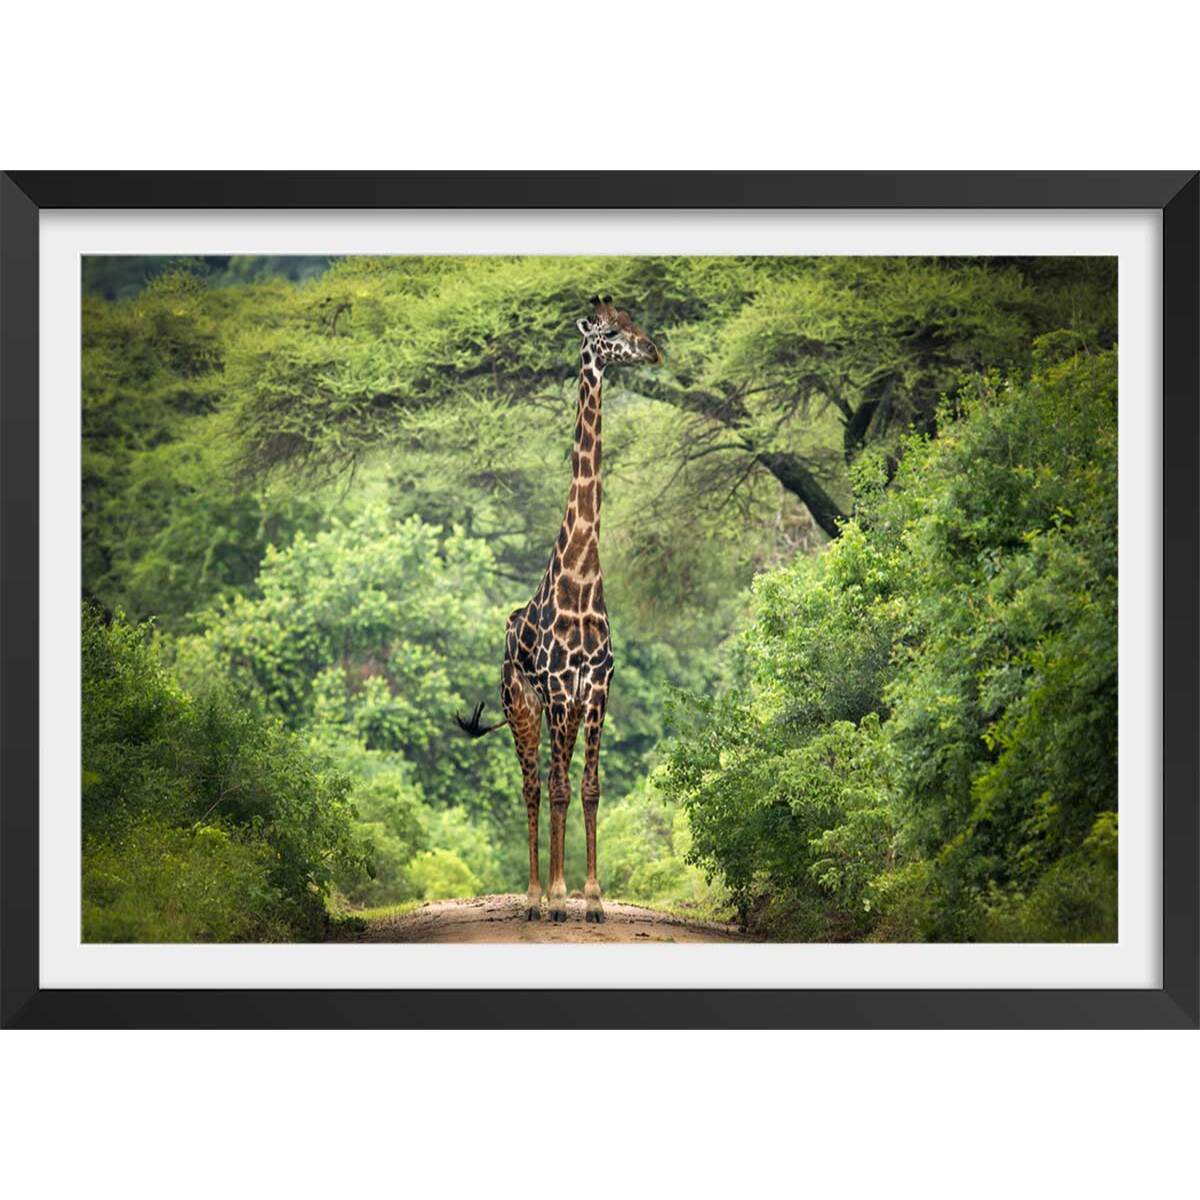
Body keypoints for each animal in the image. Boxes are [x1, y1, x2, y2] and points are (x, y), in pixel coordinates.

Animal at [455, 295, 661, 922]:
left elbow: (588, 788)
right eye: (611, 332)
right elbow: (558, 787)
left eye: (634, 321)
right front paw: (559, 897)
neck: (582, 579)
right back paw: (533, 897)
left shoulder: (596, 688)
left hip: (558, 709)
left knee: (554, 780)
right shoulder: (555, 689)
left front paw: (591, 898)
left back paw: (552, 894)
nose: (653, 349)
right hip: (522, 705)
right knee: (533, 784)